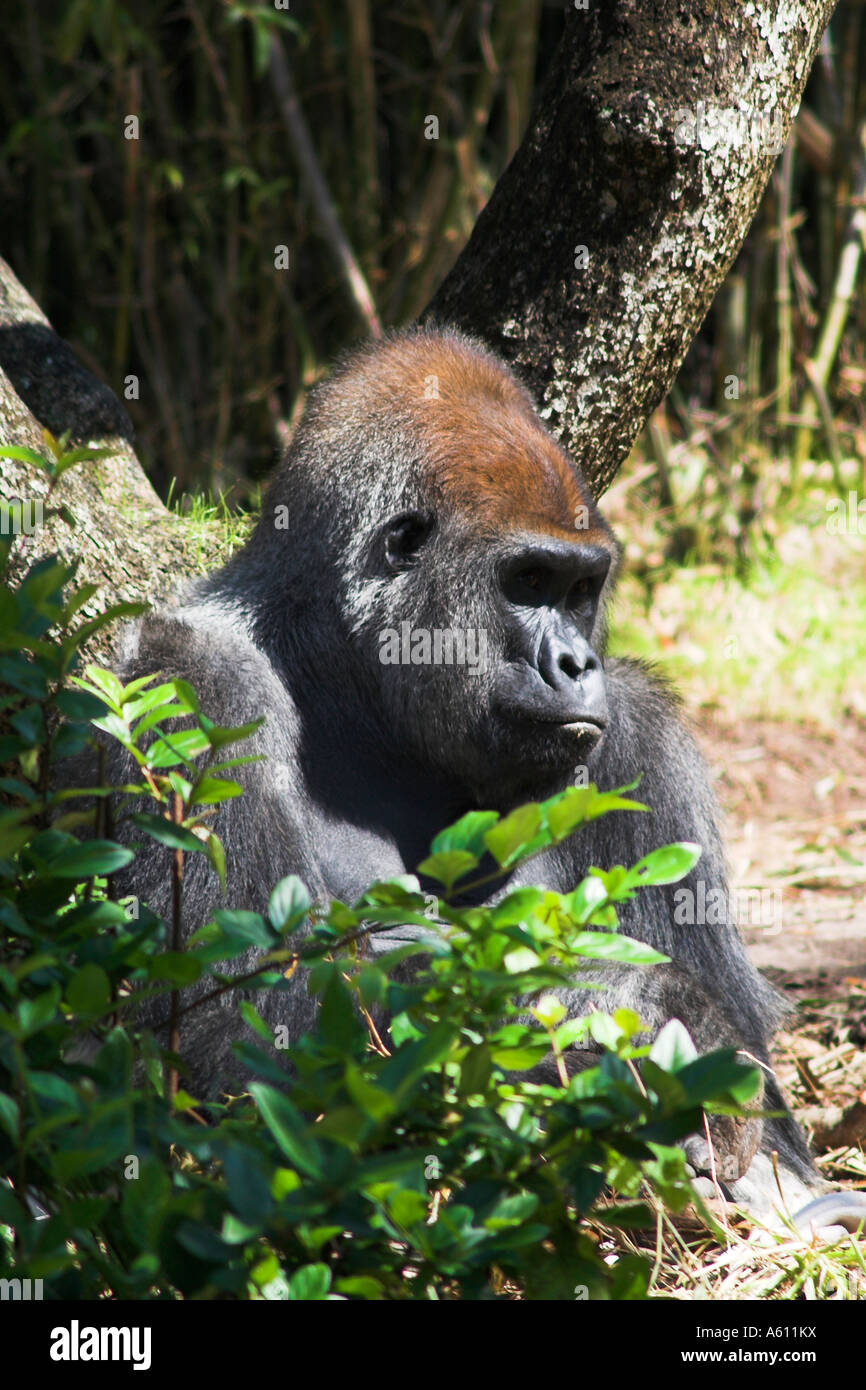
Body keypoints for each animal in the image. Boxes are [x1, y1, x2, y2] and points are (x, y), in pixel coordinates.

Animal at [108, 330, 845, 1223]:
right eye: (528, 582)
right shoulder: (195, 682)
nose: (578, 662)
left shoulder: (644, 742)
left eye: (581, 588)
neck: (344, 685)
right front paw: (626, 1010)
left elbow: (769, 1108)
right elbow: (225, 1021)